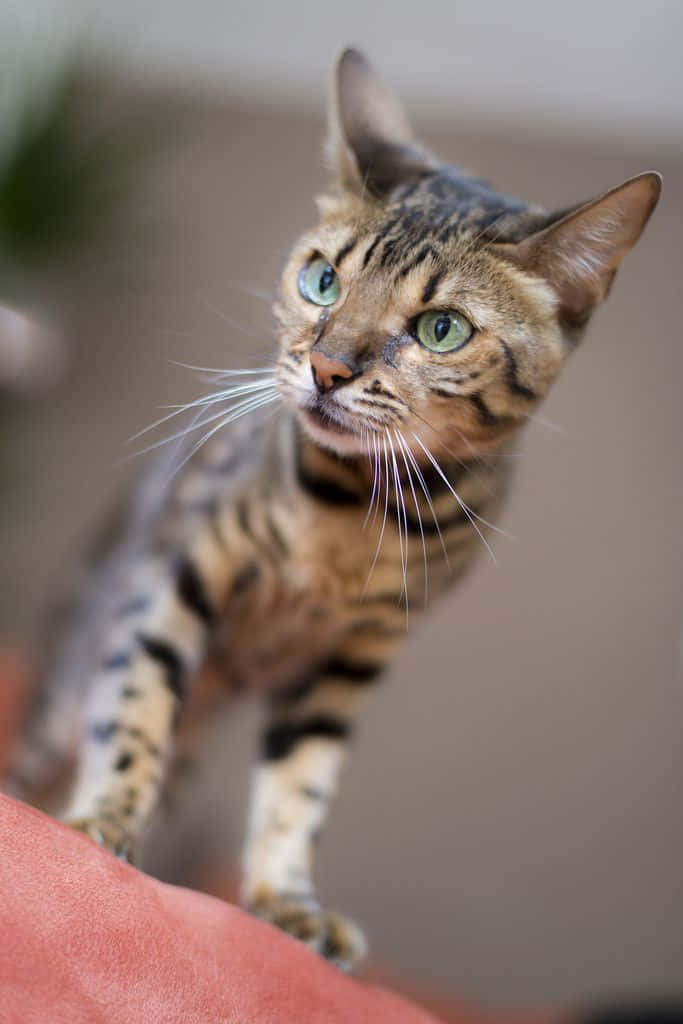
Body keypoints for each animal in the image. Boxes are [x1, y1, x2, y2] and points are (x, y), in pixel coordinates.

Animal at [7, 49, 659, 974]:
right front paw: (101, 822)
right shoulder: (173, 575)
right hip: (71, 676)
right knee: (49, 752)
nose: (326, 368)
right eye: (322, 280)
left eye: (441, 328)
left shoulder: (350, 660)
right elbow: (134, 706)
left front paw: (287, 903)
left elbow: (300, 788)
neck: (354, 519)